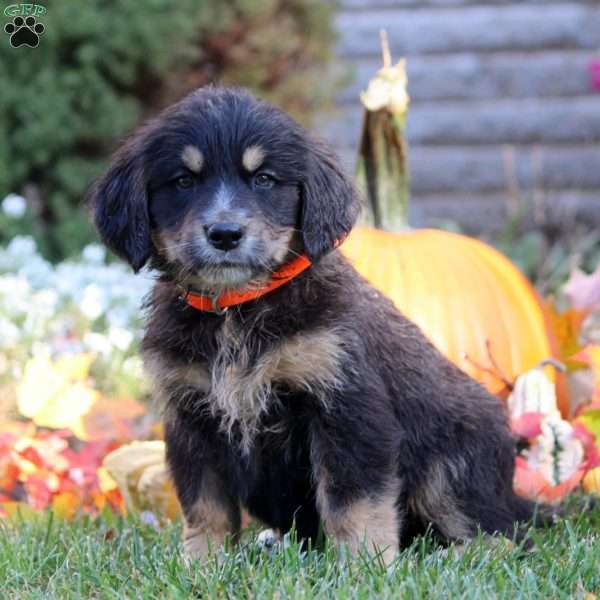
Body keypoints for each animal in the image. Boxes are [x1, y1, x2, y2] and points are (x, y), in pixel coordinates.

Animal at [91, 86, 548, 564]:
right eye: (183, 181)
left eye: (264, 180)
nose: (225, 234)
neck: (238, 308)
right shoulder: (192, 417)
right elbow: (205, 506)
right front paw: (201, 564)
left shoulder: (347, 405)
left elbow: (354, 501)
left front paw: (365, 564)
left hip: (450, 463)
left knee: (503, 536)